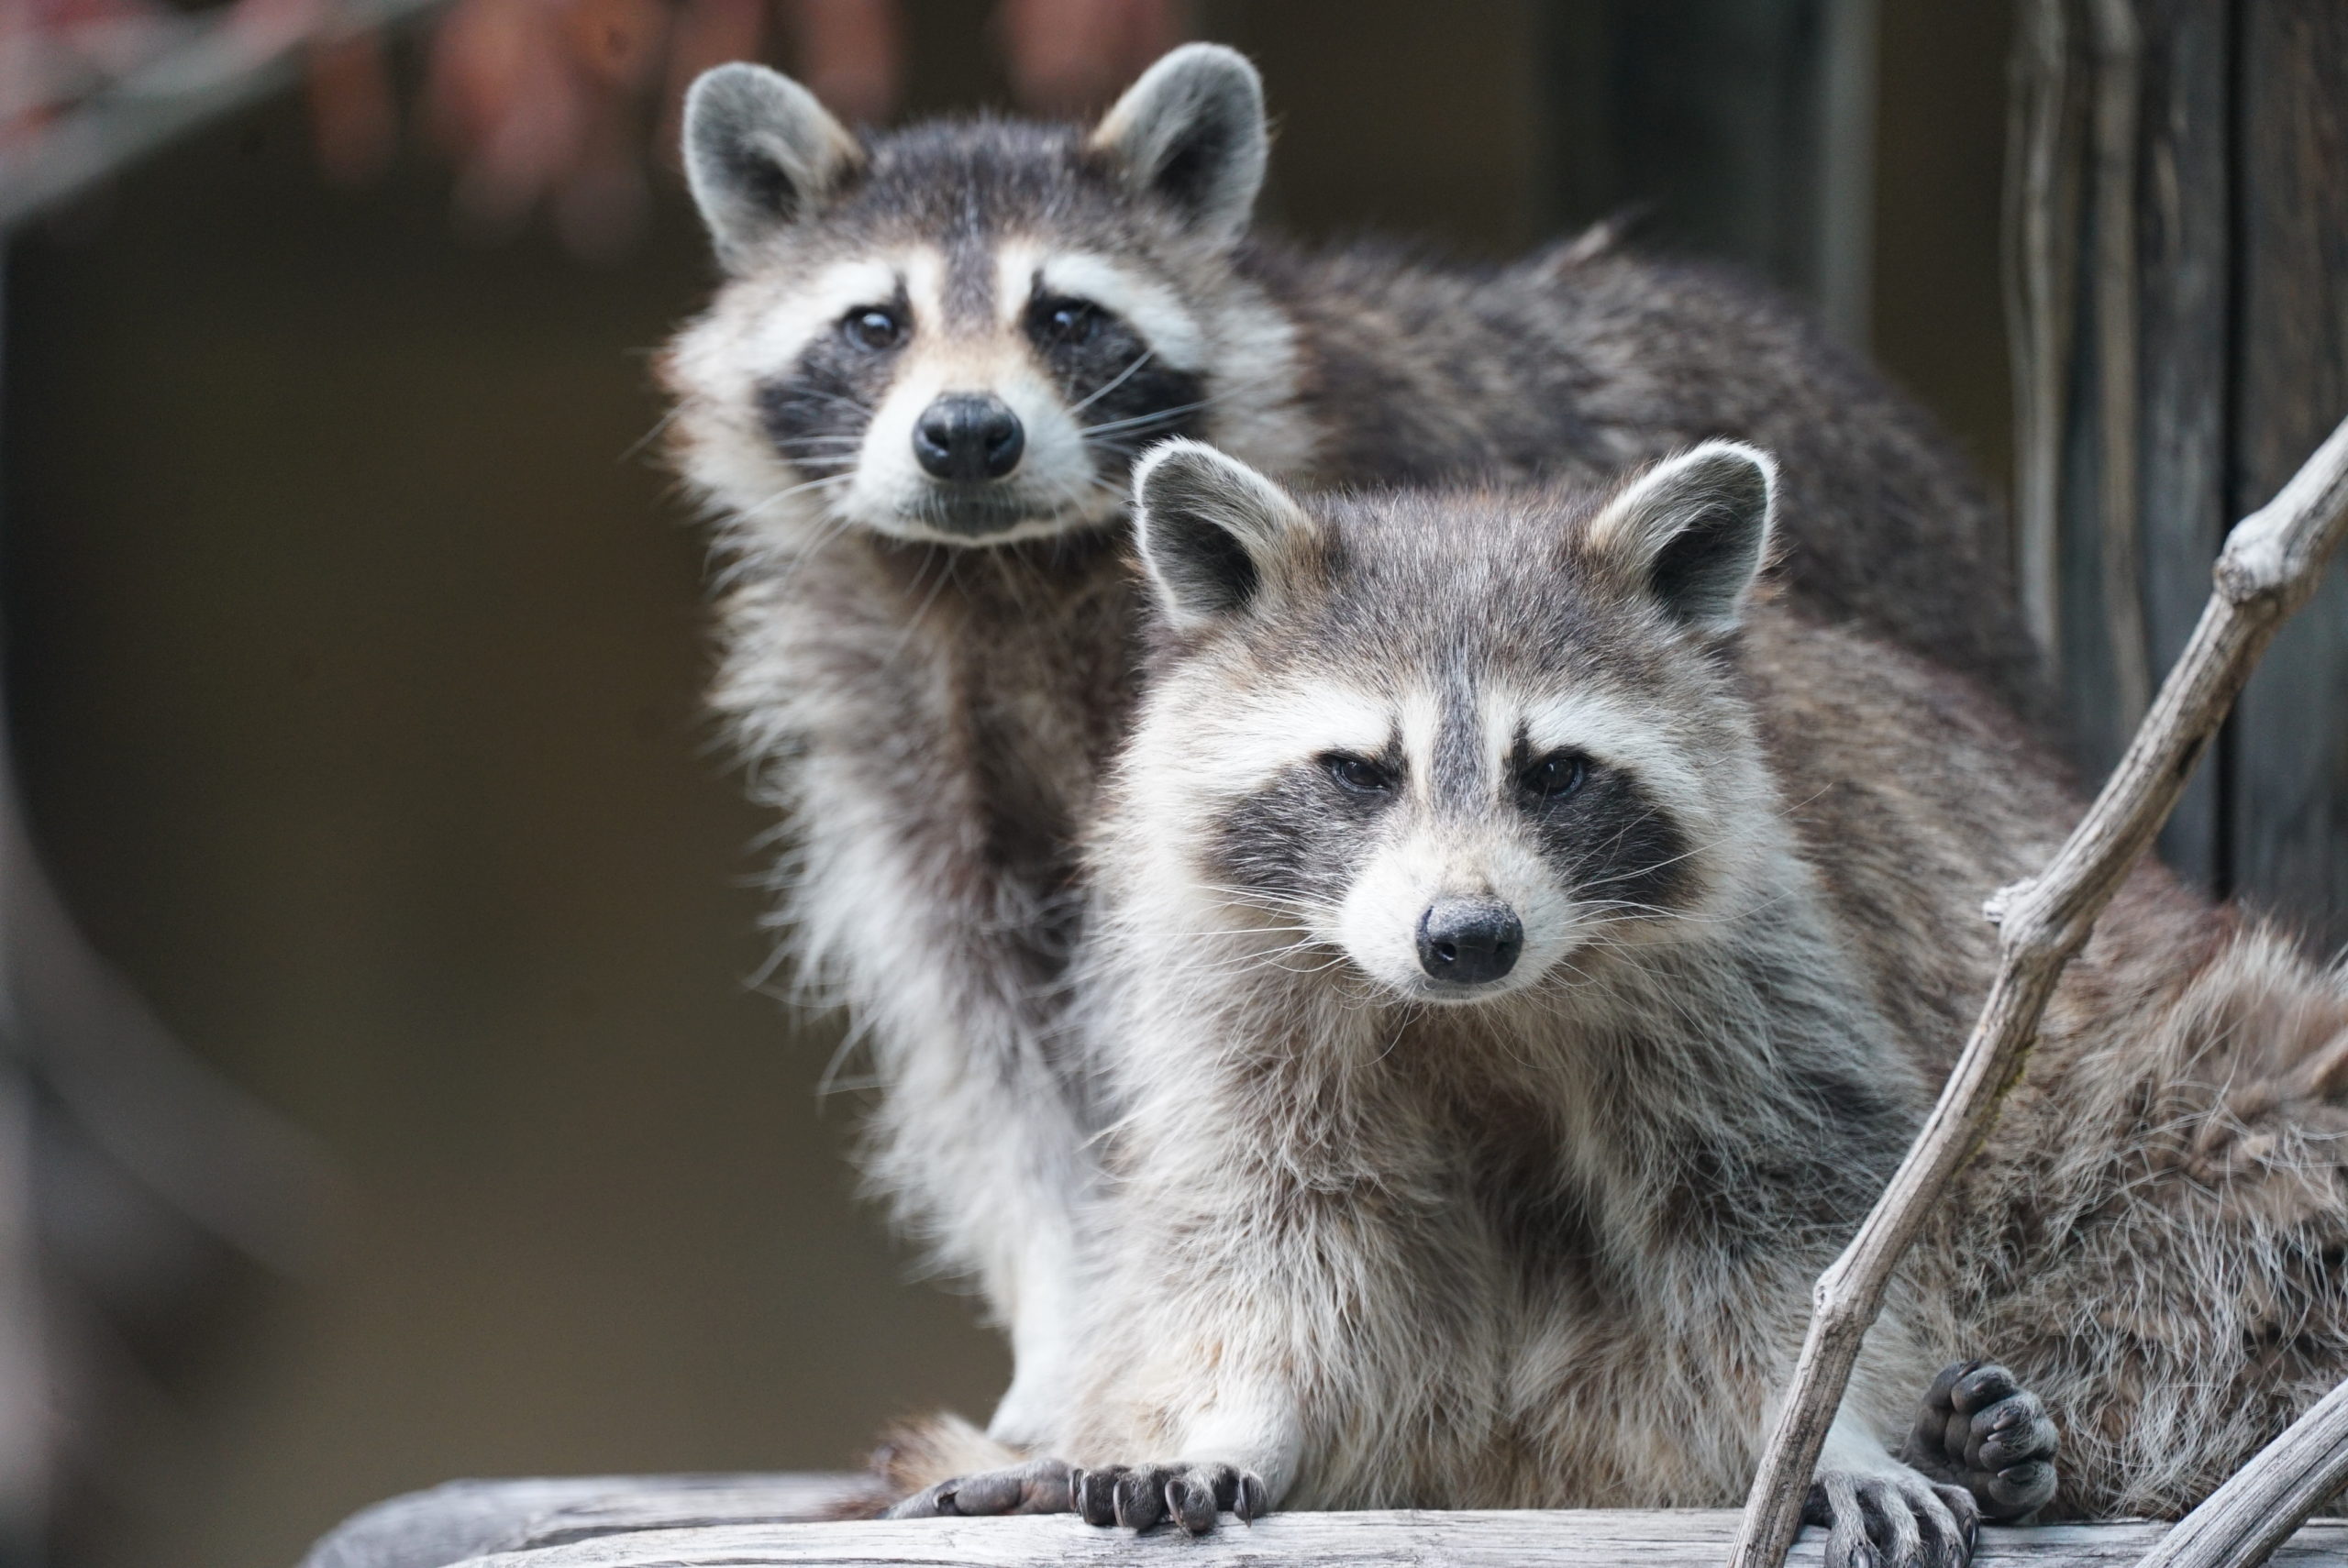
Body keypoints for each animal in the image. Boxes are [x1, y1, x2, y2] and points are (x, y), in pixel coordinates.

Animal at [661, 42, 2038, 1445]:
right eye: (875, 324)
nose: (967, 434)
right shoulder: (906, 719)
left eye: (1067, 317)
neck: (1006, 574)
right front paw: (1064, 1336)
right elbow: (1001, 1035)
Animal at [902, 438, 2348, 1558]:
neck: (1476, 1015)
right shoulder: (1237, 982)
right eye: (1361, 769)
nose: (1466, 936)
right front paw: (1238, 1411)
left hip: (2183, 1082)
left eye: (1555, 773)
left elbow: (1783, 1217)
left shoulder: (1760, 967)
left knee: (2230, 1202)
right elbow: (1277, 1215)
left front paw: (1839, 1428)